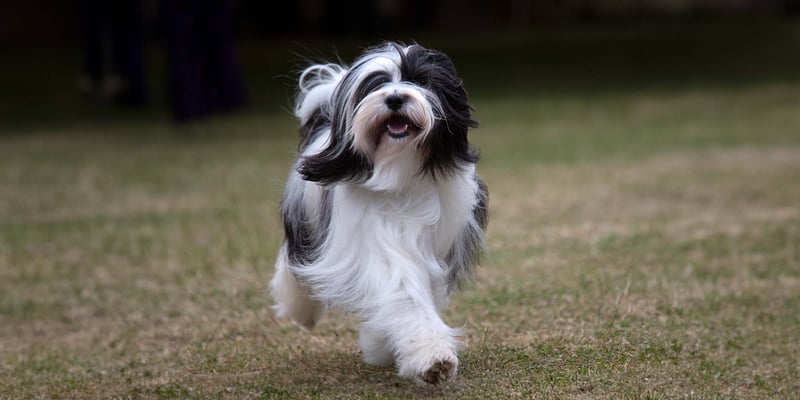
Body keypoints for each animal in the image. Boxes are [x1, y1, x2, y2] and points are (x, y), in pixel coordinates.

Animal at [270, 41, 488, 384]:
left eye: (421, 80)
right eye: (375, 85)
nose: (395, 98)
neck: (399, 173)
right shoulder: (374, 242)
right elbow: (404, 294)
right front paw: (432, 357)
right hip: (304, 224)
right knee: (295, 264)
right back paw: (301, 308)